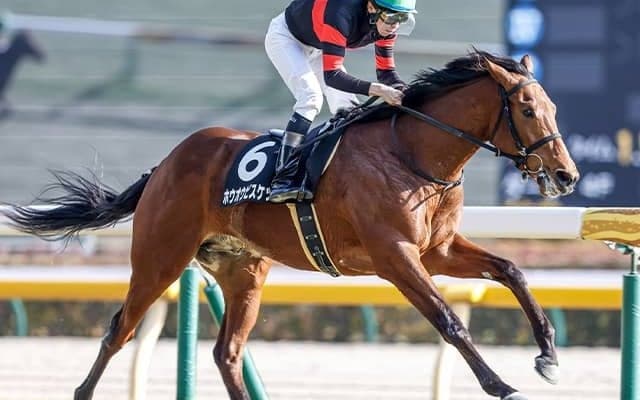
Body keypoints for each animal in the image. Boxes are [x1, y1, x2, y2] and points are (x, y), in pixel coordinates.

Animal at [2, 50, 579, 400]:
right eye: (528, 110)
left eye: (553, 106)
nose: (565, 175)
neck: (412, 153)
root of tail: (164, 164)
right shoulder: (395, 255)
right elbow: (448, 320)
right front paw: (501, 383)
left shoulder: (437, 250)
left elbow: (510, 270)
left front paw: (548, 355)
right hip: (159, 260)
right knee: (118, 330)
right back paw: (83, 390)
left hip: (244, 271)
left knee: (227, 352)